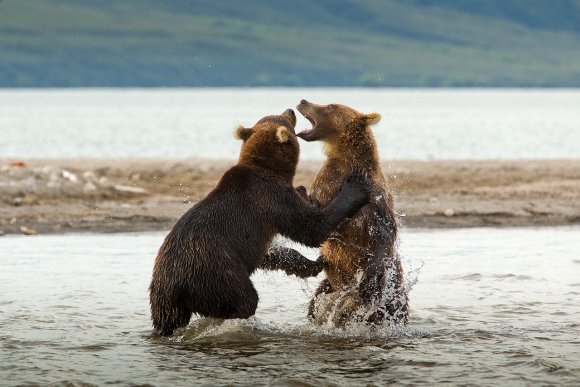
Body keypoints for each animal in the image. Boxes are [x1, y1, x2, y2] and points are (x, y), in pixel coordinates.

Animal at [147, 109, 370, 336]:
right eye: (285, 119)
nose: (290, 109)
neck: (269, 169)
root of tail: (173, 284)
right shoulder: (272, 198)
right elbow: (311, 228)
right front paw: (356, 185)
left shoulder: (254, 238)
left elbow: (271, 253)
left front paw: (311, 264)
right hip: (214, 271)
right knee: (243, 300)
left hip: (163, 297)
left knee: (168, 319)